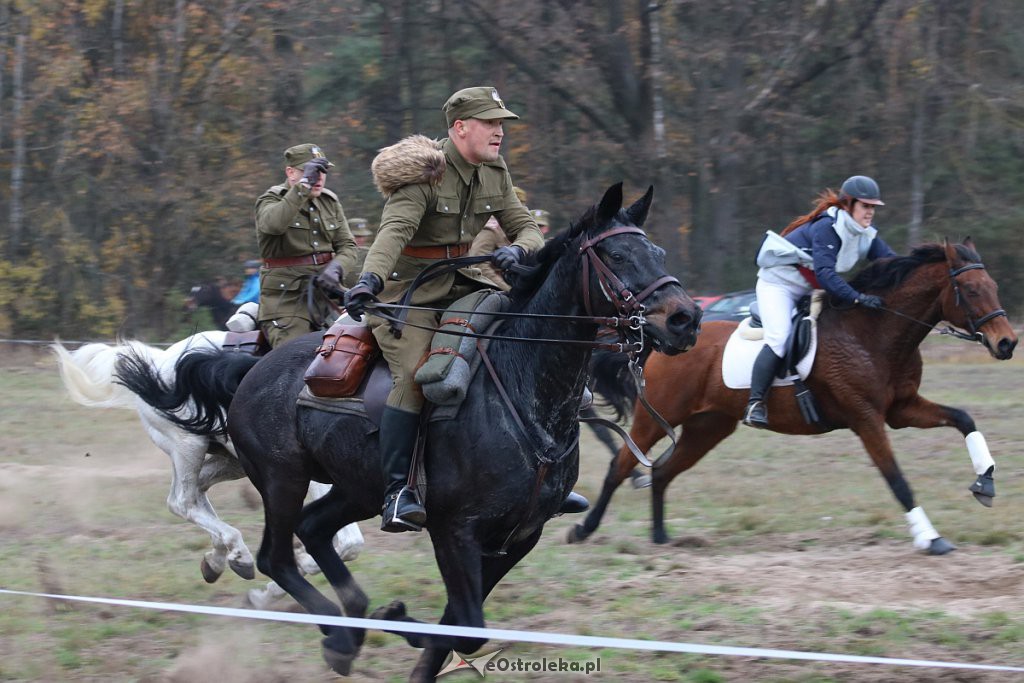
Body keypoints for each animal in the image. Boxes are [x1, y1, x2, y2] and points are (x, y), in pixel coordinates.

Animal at [51, 329, 366, 602]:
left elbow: (348, 545)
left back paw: (219, 559)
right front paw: (286, 577)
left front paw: (278, 585)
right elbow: (349, 543)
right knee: (182, 501)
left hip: (230, 459)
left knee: (196, 492)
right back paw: (237, 553)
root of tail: (162, 358)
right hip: (187, 445)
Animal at [116, 184, 700, 679]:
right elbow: (467, 626)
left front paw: (402, 631)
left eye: (659, 253)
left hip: (353, 486)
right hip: (282, 478)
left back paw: (345, 615)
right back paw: (332, 627)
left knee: (312, 530)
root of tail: (250, 369)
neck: (520, 385)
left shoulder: (518, 536)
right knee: (272, 553)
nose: (686, 319)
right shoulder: (455, 530)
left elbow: (461, 622)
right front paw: (397, 617)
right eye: (617, 257)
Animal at [569, 240, 1015, 557]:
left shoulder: (900, 410)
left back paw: (662, 537)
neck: (874, 333)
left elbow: (964, 418)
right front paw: (930, 538)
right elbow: (898, 481)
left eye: (994, 287)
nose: (1007, 343)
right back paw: (584, 529)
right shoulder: (866, 419)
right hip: (656, 418)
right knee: (620, 466)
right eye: (971, 290)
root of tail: (665, 342)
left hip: (708, 427)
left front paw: (985, 481)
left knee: (662, 472)